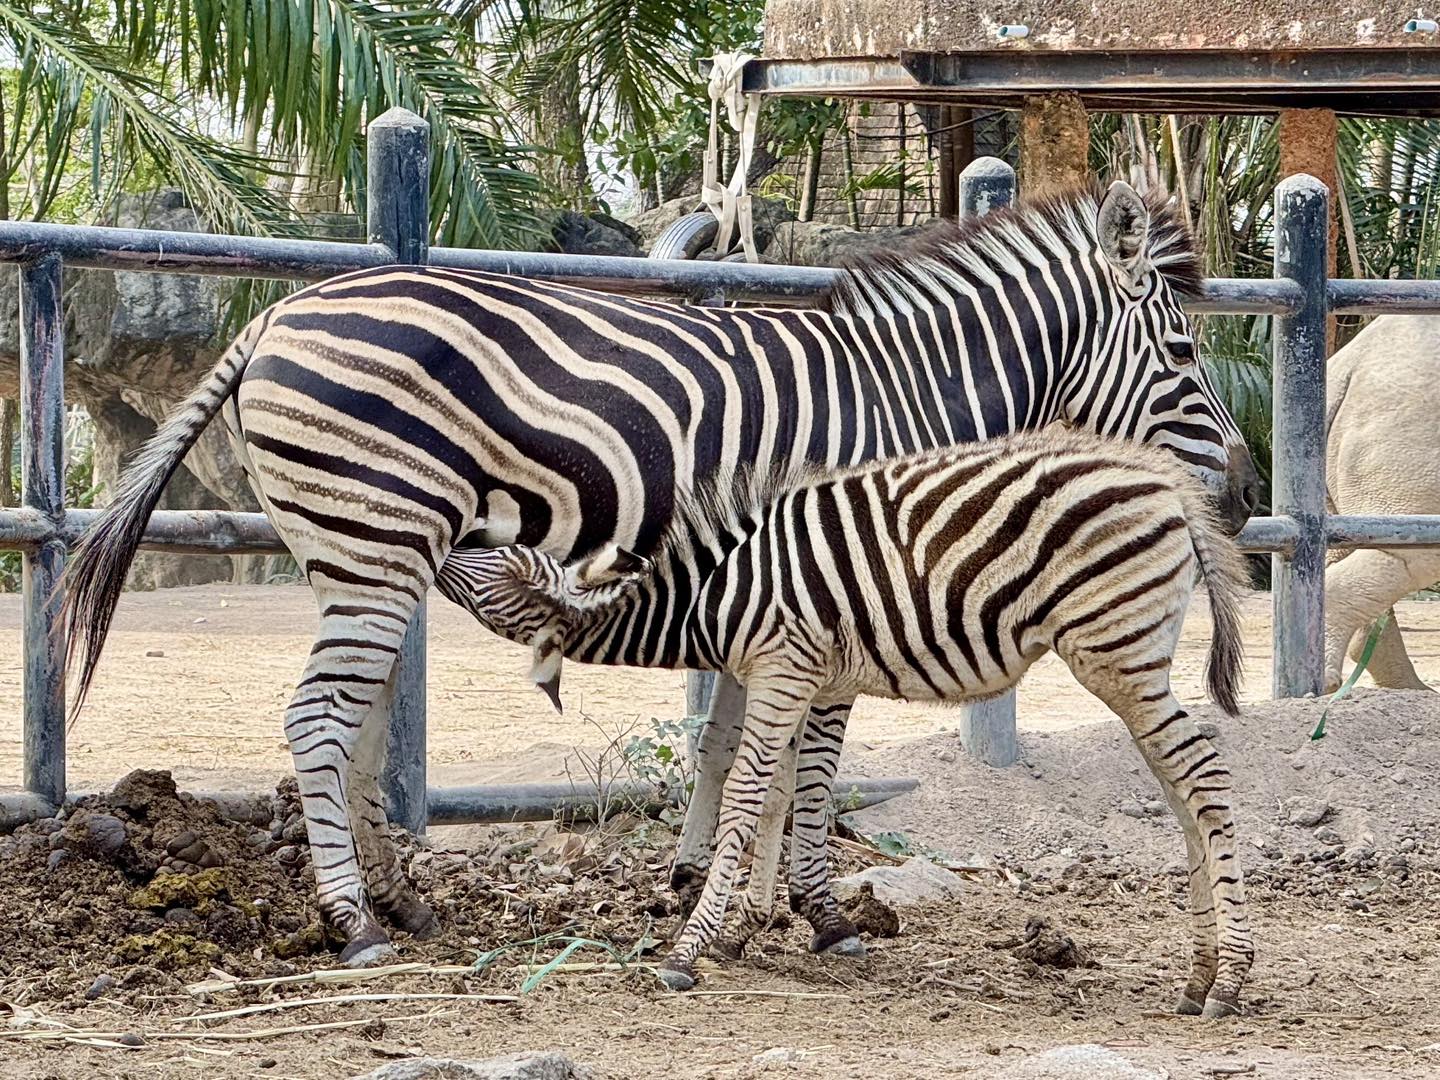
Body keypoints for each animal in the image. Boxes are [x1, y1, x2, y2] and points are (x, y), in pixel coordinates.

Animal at [64, 182, 1261, 967]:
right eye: (1185, 355)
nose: (1248, 493)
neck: (904, 394)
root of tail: (273, 311)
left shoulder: (779, 575)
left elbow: (729, 744)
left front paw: (696, 885)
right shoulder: (849, 573)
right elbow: (812, 761)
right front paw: (820, 913)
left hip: (366, 555)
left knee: (351, 729)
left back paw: (395, 903)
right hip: (374, 542)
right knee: (319, 720)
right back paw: (355, 926)